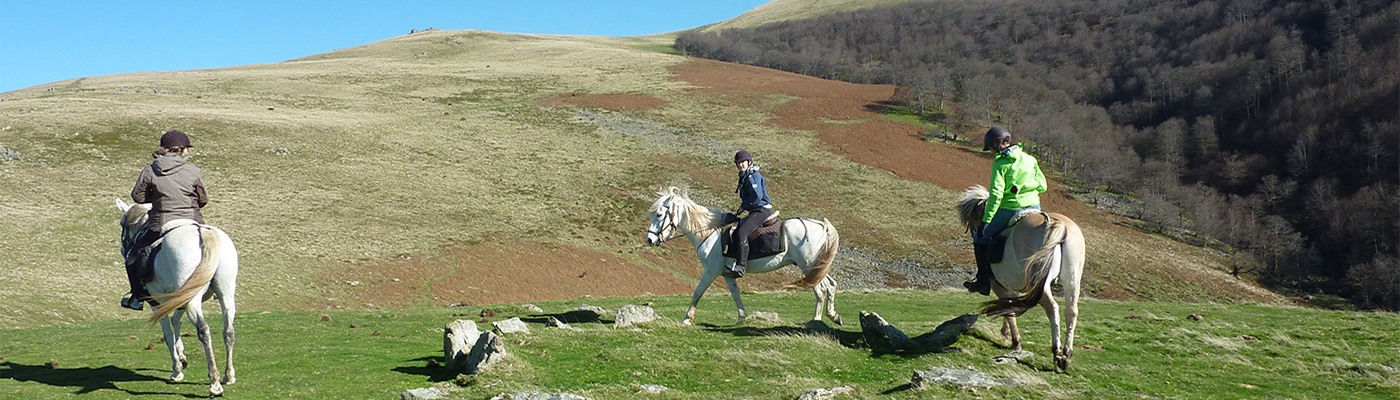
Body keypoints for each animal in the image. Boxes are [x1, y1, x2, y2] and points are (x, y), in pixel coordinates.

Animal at [116, 198, 239, 394]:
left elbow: (167, 334)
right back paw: (228, 375)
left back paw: (214, 382)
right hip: (225, 293)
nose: (122, 249)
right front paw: (182, 355)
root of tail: (203, 232)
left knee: (203, 331)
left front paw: (177, 369)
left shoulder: (157, 304)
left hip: (193, 300)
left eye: (122, 223)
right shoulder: (178, 299)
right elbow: (176, 322)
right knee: (228, 331)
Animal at [644, 187, 840, 324]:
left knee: (821, 290)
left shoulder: (711, 271)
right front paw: (741, 317)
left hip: (808, 266)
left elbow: (697, 292)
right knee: (831, 285)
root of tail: (821, 225)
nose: (649, 239)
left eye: (659, 215)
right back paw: (833, 315)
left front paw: (687, 318)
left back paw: (816, 320)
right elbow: (736, 294)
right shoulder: (727, 274)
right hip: (817, 266)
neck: (709, 232)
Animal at [957, 186, 1086, 374]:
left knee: (1053, 308)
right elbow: (1007, 306)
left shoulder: (1000, 286)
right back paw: (1067, 352)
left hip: (1041, 284)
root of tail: (1059, 225)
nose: (975, 232)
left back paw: (1057, 353)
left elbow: (1009, 310)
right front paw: (1005, 332)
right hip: (1072, 280)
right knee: (1071, 312)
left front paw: (1015, 341)